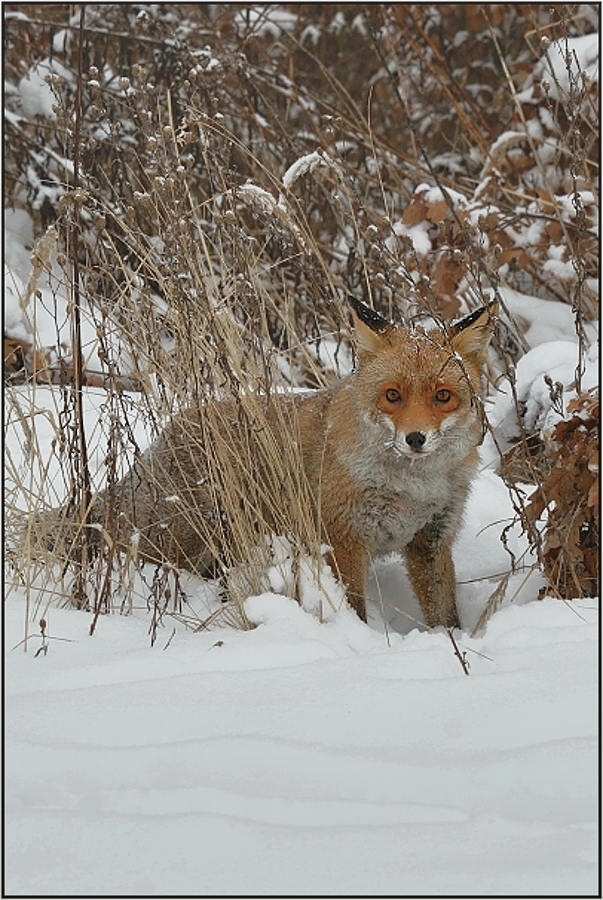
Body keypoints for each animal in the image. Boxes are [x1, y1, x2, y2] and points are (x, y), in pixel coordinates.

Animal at [41, 298, 496, 628]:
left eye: (442, 396)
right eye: (392, 396)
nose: (415, 439)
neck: (412, 489)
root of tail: (170, 433)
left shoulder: (430, 542)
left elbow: (446, 616)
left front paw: (454, 647)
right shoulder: (343, 541)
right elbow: (353, 610)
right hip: (180, 544)